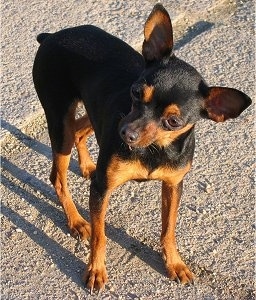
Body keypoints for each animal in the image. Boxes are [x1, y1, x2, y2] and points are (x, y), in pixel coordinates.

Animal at [32, 2, 250, 292]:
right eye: (136, 92)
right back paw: (76, 220)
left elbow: (169, 229)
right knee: (58, 176)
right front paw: (96, 270)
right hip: (60, 122)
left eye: (173, 121)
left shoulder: (173, 185)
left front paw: (175, 264)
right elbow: (100, 235)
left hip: (93, 114)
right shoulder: (102, 189)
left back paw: (88, 165)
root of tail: (52, 36)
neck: (154, 150)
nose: (126, 133)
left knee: (79, 132)